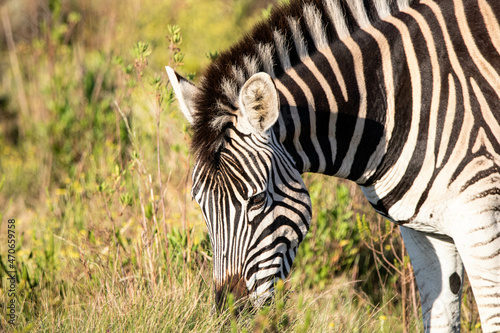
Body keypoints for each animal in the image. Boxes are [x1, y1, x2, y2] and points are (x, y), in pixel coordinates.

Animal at [166, 0, 498, 330]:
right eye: (200, 204)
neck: (393, 98)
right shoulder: (424, 232)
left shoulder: (479, 218)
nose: (230, 315)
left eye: (257, 199)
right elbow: (440, 316)